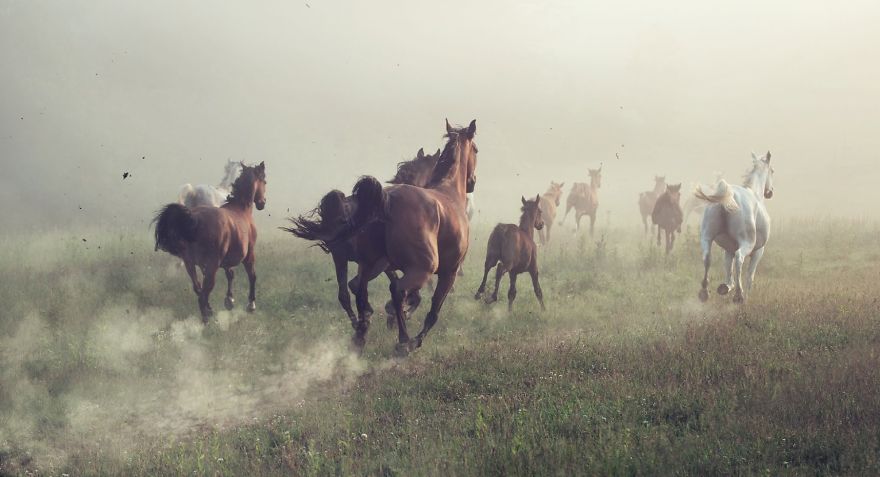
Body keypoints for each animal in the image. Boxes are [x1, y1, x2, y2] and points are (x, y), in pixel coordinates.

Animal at [154, 162, 267, 320]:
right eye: (264, 181)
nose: (262, 203)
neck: (240, 208)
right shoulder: (249, 254)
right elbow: (252, 276)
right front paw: (251, 305)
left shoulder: (223, 260)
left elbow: (230, 274)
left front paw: (229, 300)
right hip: (212, 266)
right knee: (203, 294)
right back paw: (207, 318)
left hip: (191, 265)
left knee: (198, 289)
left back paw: (208, 311)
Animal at [283, 148, 439, 332]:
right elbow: (411, 291)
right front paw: (399, 313)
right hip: (368, 263)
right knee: (355, 286)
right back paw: (367, 316)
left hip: (340, 257)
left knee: (344, 294)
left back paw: (358, 321)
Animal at [695, 151, 774, 304]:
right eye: (772, 171)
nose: (770, 192)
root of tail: (728, 196)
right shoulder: (758, 252)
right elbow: (749, 277)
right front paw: (744, 296)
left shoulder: (728, 250)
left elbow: (728, 272)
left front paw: (725, 287)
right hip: (747, 243)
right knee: (739, 258)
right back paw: (739, 295)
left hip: (706, 237)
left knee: (707, 257)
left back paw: (704, 292)